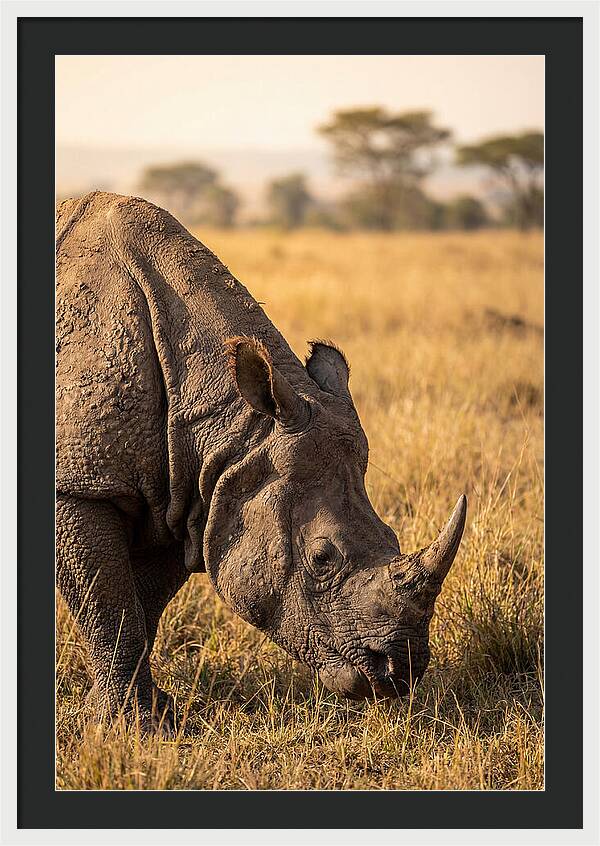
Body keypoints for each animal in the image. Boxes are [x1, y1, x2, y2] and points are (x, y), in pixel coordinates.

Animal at [56, 191, 466, 728]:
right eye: (322, 558)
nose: (400, 672)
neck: (232, 428)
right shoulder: (81, 484)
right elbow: (111, 611)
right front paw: (132, 726)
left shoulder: (186, 494)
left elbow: (140, 607)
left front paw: (145, 715)